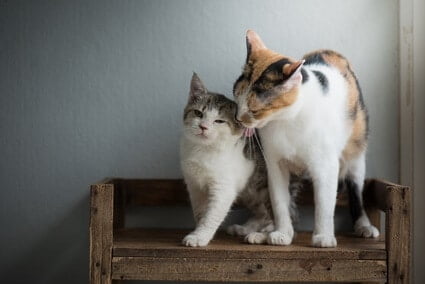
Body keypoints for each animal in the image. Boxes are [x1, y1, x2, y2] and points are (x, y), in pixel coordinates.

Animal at [234, 30, 380, 246]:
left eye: (254, 110)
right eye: (236, 98)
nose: (238, 118)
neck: (286, 120)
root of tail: (330, 51)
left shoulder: (326, 166)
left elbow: (324, 204)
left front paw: (324, 237)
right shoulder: (275, 166)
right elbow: (279, 202)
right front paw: (283, 234)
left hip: (356, 152)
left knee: (355, 189)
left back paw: (364, 225)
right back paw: (261, 232)